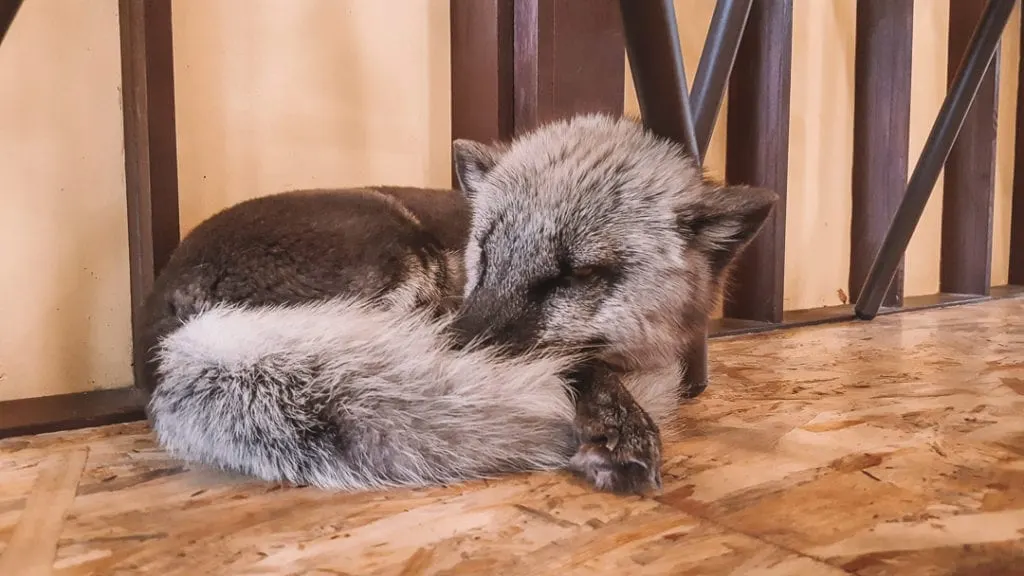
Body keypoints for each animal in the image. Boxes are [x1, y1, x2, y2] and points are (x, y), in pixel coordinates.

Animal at [138, 113, 774, 494]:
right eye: (485, 251)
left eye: (574, 275)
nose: (459, 347)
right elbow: (584, 365)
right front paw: (619, 422)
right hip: (398, 252)